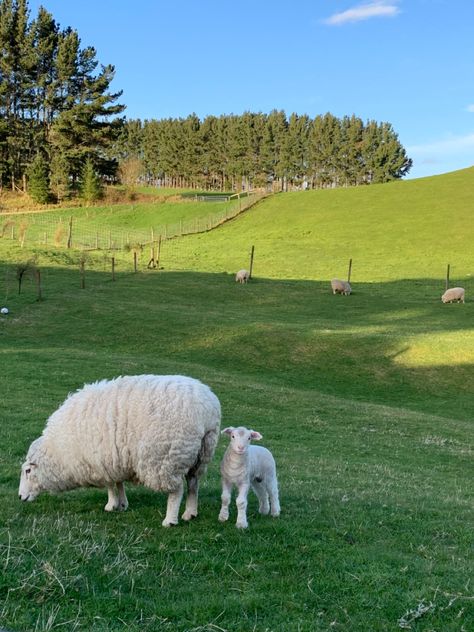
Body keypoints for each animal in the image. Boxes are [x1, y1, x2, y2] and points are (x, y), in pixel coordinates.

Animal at [19, 372, 223, 524]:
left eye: (28, 470)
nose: (20, 497)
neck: (59, 451)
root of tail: (207, 409)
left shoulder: (100, 462)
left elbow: (110, 486)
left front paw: (111, 505)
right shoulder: (113, 460)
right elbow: (118, 483)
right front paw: (123, 504)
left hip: (166, 457)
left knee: (177, 490)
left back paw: (170, 520)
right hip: (202, 452)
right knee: (193, 483)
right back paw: (190, 513)